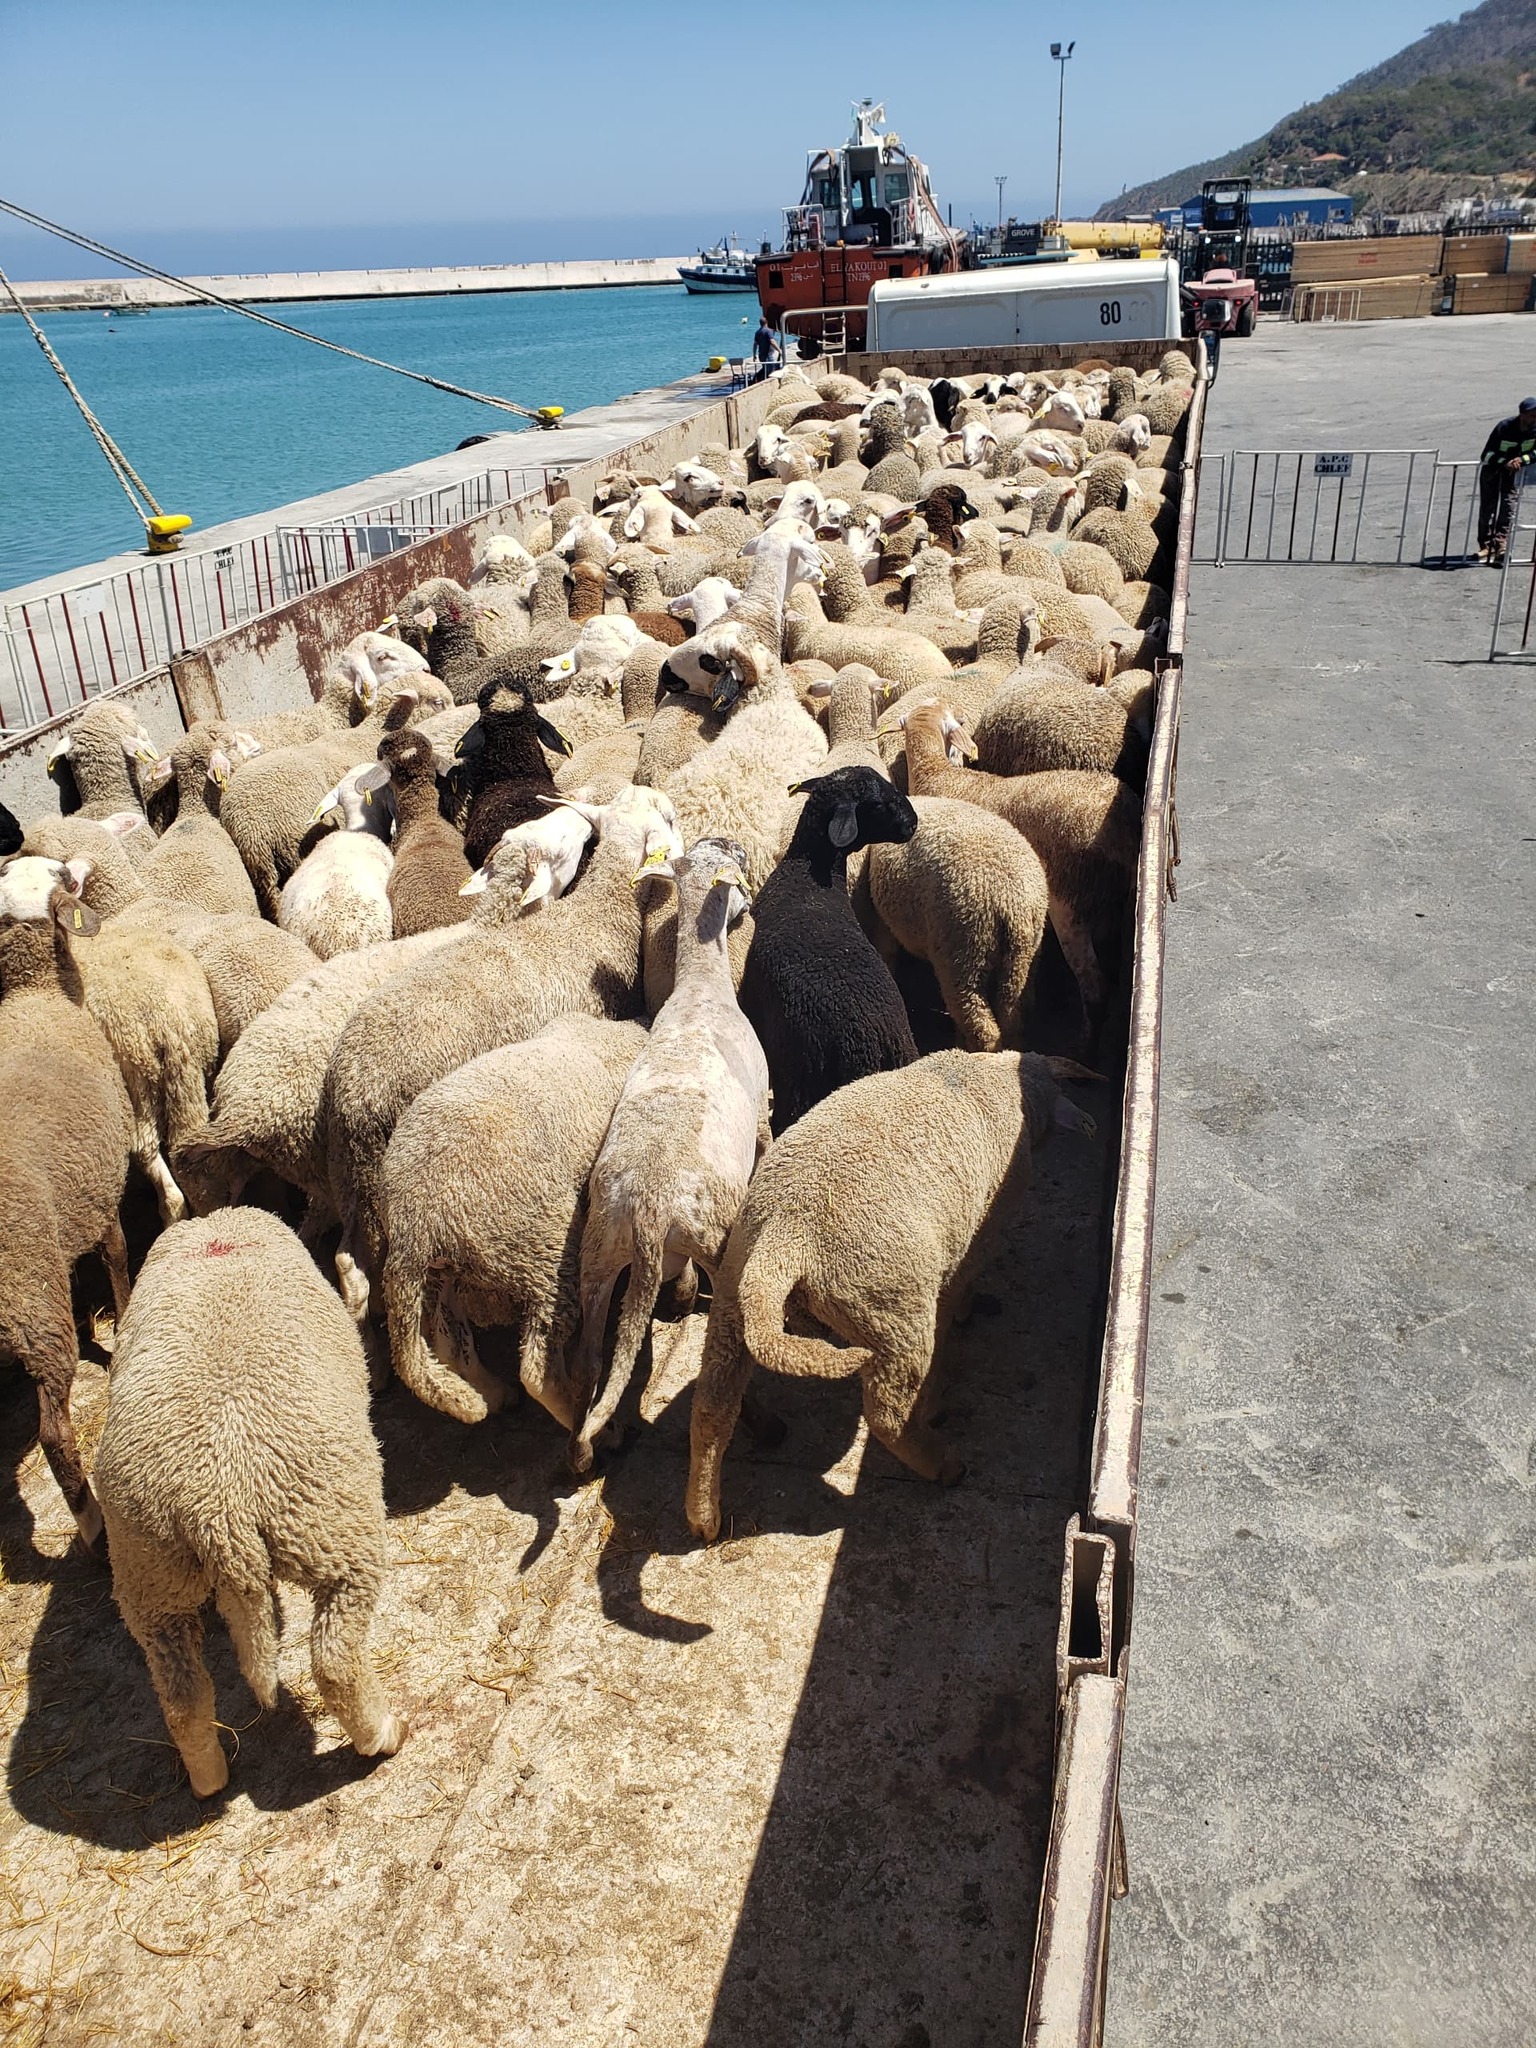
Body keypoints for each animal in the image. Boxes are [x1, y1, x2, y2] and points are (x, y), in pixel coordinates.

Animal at [93, 1207, 405, 1796]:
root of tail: (220, 1510)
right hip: (333, 1530)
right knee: (334, 1659)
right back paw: (382, 1735)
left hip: (150, 1574)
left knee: (183, 1695)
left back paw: (209, 1777)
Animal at [381, 1014, 649, 1428]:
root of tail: (415, 1223)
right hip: (542, 1247)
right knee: (537, 1368)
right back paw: (595, 1428)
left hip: (447, 1268)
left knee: (448, 1340)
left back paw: (493, 1395)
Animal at [567, 840, 770, 1473]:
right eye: (738, 868)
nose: (751, 905)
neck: (701, 991)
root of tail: (650, 1211)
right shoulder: (765, 1110)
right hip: (716, 1235)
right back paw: (763, 1423)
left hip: (599, 1254)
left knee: (589, 1361)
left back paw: (585, 1450)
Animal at [684, 1049, 1099, 1539]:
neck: (990, 1081)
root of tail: (787, 1235)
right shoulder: (973, 1241)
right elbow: (957, 1296)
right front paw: (961, 1329)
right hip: (890, 1311)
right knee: (887, 1414)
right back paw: (943, 1464)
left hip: (734, 1289)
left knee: (713, 1405)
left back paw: (703, 1519)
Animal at [863, 796, 1050, 1052]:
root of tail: (1010, 903)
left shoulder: (885, 924)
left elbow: (886, 953)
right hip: (1022, 960)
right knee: (1012, 1017)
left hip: (963, 952)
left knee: (982, 1026)